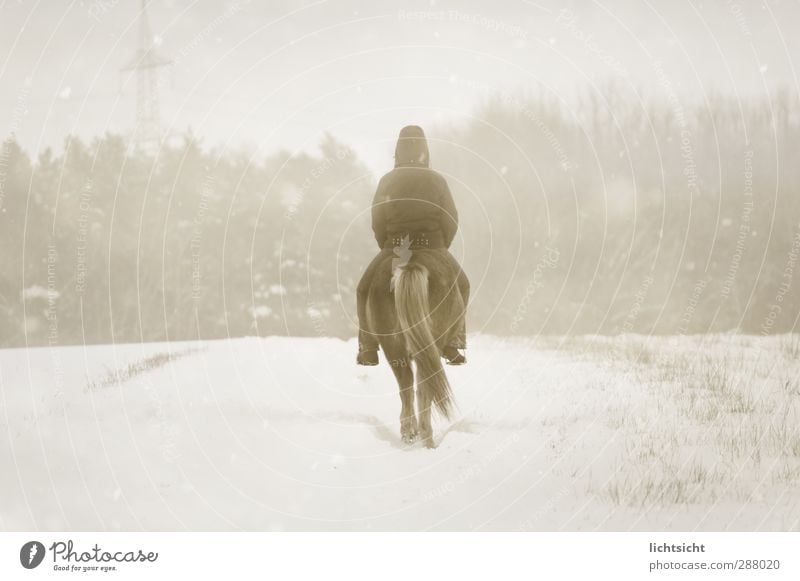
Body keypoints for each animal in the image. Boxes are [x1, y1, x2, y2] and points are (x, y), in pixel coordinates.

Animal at [362, 247, 462, 446]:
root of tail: (411, 264)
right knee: (424, 389)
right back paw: (427, 439)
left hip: (393, 346)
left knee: (406, 386)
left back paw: (409, 431)